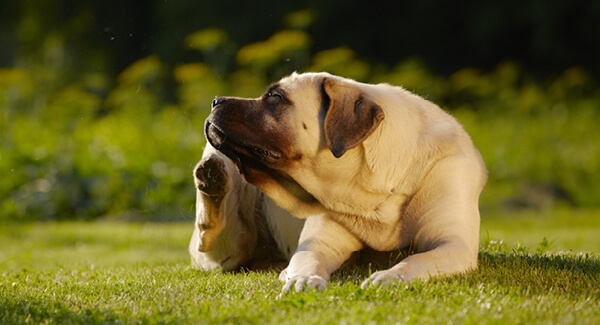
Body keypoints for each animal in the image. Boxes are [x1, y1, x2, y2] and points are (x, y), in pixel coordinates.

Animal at [202, 72, 488, 292]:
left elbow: (416, 260)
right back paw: (211, 180)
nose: (215, 100)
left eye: (275, 97)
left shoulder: (453, 243)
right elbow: (308, 260)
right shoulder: (318, 243)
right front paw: (303, 279)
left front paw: (390, 276)